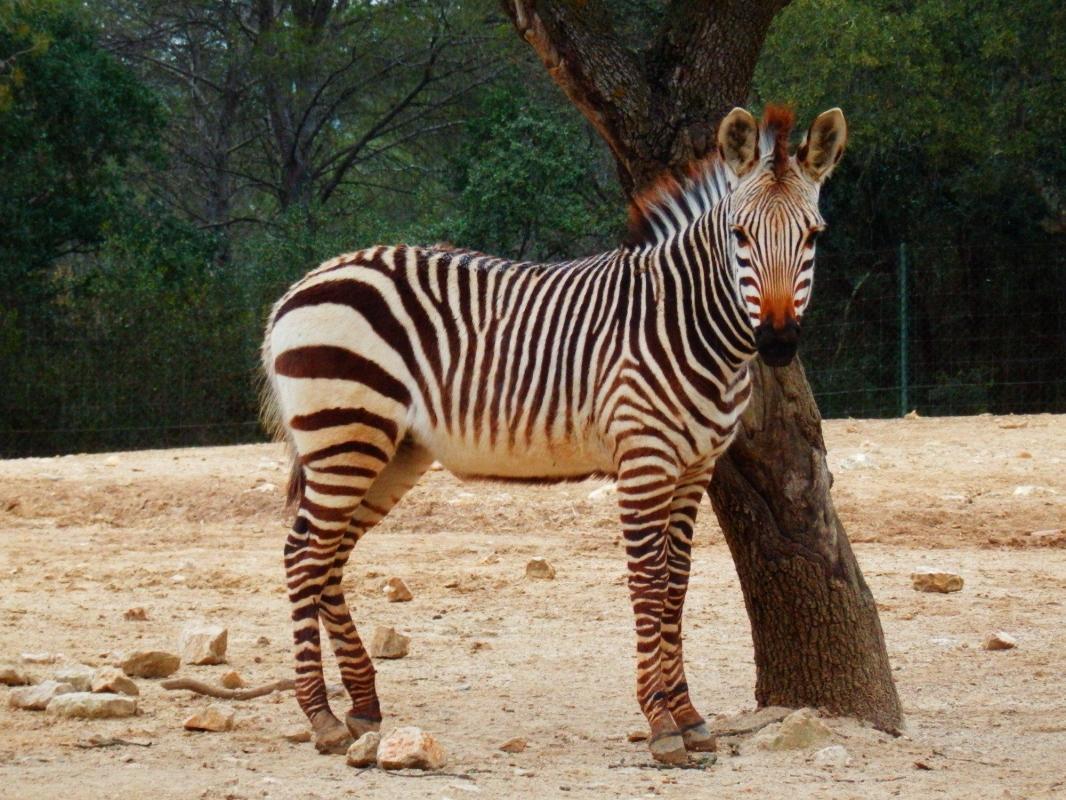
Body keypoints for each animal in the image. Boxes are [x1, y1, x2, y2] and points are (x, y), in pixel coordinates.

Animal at [260, 105, 848, 763]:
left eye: (814, 236)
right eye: (740, 235)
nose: (778, 342)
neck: (685, 323)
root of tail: (301, 285)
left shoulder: (695, 469)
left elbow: (677, 584)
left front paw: (692, 718)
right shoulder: (644, 461)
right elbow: (649, 583)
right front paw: (661, 724)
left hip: (389, 452)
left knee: (329, 556)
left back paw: (361, 705)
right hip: (345, 435)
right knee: (303, 554)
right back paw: (321, 717)